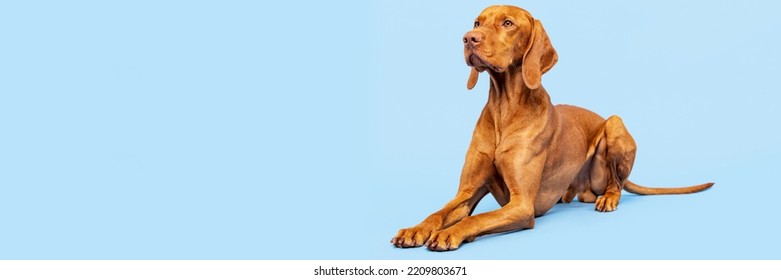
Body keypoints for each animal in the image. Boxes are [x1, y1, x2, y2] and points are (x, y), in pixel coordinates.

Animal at [390, 5, 712, 252]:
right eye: (477, 23)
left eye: (507, 23)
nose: (469, 38)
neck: (504, 108)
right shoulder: (466, 193)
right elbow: (439, 212)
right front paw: (416, 229)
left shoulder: (522, 206)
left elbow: (476, 219)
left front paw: (449, 233)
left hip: (614, 123)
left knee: (617, 183)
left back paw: (608, 198)